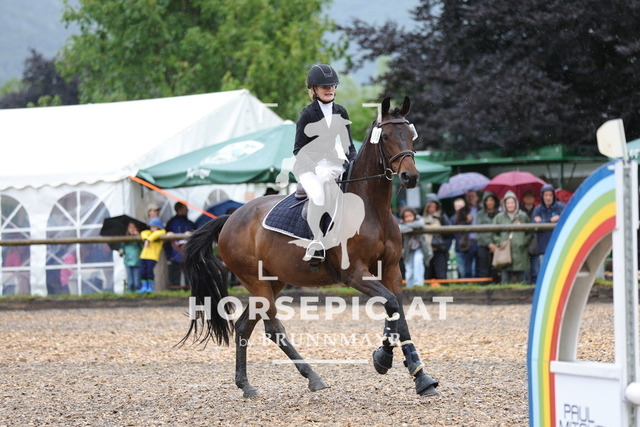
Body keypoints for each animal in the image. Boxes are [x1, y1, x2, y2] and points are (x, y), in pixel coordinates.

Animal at [180, 96, 439, 398]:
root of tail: (231, 217)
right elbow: (391, 303)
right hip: (257, 281)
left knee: (244, 326)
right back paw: (312, 376)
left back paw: (245, 384)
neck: (372, 210)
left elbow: (398, 312)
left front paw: (419, 375)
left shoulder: (391, 271)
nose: (411, 176)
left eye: (411, 135)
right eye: (385, 137)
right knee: (273, 327)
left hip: (274, 280)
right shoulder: (354, 274)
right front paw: (384, 359)